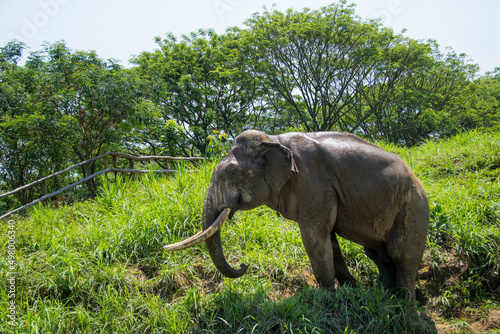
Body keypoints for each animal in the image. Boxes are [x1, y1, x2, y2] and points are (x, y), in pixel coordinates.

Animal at [165, 129, 430, 298]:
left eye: (232, 172)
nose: (244, 264)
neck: (274, 139)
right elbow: (328, 238)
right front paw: (351, 288)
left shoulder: (313, 182)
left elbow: (313, 236)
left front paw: (326, 296)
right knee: (379, 255)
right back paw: (385, 295)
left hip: (414, 208)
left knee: (402, 257)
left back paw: (404, 306)